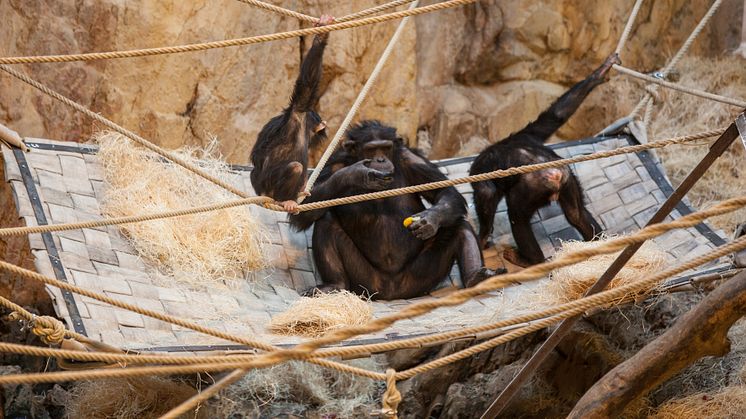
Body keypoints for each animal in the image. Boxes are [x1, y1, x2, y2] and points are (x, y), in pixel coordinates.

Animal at [248, 15, 332, 215]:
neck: (305, 124)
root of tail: (261, 193)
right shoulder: (299, 110)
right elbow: (307, 84)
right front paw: (322, 35)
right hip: (269, 187)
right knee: (295, 168)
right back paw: (286, 201)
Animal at [288, 120, 496, 300]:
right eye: (371, 149)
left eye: (386, 147)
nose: (380, 159)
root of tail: (392, 293)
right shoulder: (334, 164)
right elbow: (303, 209)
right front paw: (356, 174)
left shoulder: (411, 159)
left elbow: (444, 192)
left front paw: (429, 220)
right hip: (365, 282)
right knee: (327, 219)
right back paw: (334, 285)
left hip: (418, 278)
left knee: (459, 224)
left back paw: (476, 278)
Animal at [468, 52, 620, 268]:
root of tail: (554, 173)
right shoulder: (531, 131)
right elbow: (555, 115)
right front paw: (601, 72)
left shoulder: (481, 171)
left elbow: (486, 194)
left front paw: (481, 238)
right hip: (569, 180)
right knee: (576, 213)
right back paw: (596, 244)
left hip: (532, 188)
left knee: (518, 217)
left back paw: (529, 260)